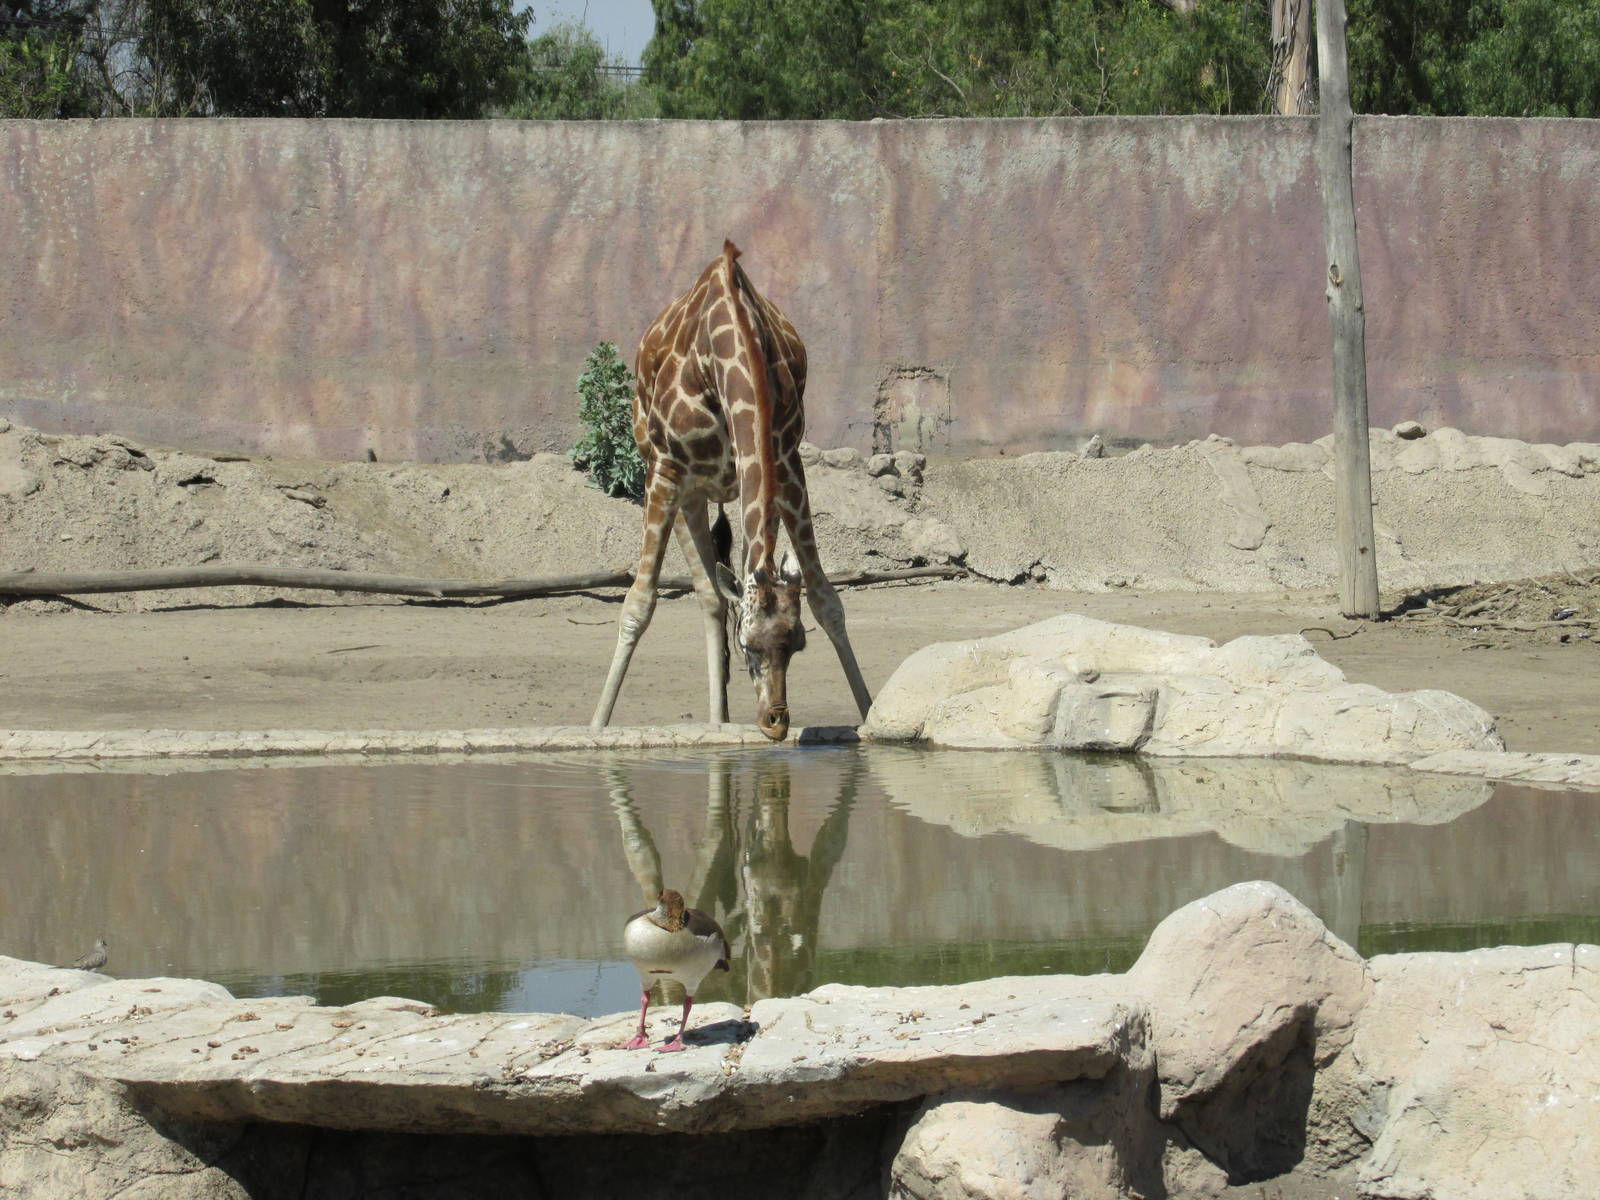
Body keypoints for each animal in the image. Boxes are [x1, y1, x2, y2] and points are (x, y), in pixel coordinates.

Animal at [590, 240, 872, 741]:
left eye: (797, 644)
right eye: (747, 646)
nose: (775, 722)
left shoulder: (786, 461)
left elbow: (826, 599)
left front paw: (871, 712)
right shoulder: (666, 471)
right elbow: (638, 603)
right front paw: (597, 725)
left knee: (720, 589)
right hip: (687, 489)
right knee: (709, 594)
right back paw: (715, 722)